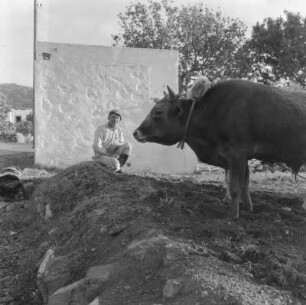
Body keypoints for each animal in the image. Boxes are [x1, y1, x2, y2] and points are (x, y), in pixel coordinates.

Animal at [134, 79, 306, 217]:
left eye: (158, 112)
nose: (136, 132)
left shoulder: (237, 155)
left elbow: (235, 186)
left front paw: (233, 215)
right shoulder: (240, 158)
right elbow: (245, 185)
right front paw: (248, 208)